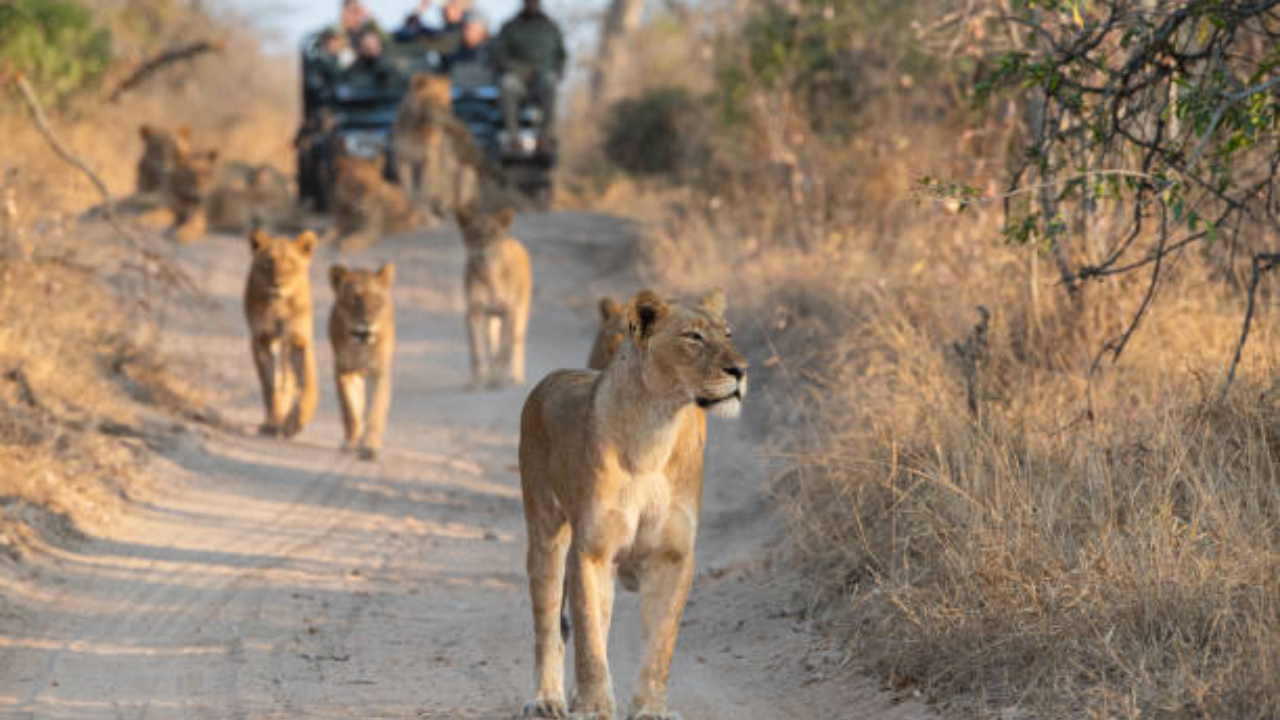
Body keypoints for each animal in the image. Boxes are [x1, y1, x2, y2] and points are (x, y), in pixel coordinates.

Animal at [243, 228, 318, 438]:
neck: (278, 305)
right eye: (268, 264)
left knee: (290, 377)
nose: (278, 284)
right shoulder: (261, 339)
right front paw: (274, 422)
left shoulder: (299, 339)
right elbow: (269, 385)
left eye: (290, 264)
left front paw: (297, 421)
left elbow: (307, 383)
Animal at [325, 263, 394, 458]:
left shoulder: (379, 372)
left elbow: (376, 409)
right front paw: (351, 442)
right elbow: (349, 409)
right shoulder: (342, 369)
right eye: (355, 299)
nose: (367, 325)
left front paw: (370, 446)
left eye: (378, 300)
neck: (360, 345)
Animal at [514, 286, 747, 717]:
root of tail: (552, 378)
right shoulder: (591, 551)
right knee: (550, 628)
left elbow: (659, 644)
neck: (656, 430)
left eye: (728, 334)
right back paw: (547, 700)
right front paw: (594, 709)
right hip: (546, 536)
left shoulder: (672, 556)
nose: (740, 369)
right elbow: (589, 643)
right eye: (693, 337)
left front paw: (651, 709)